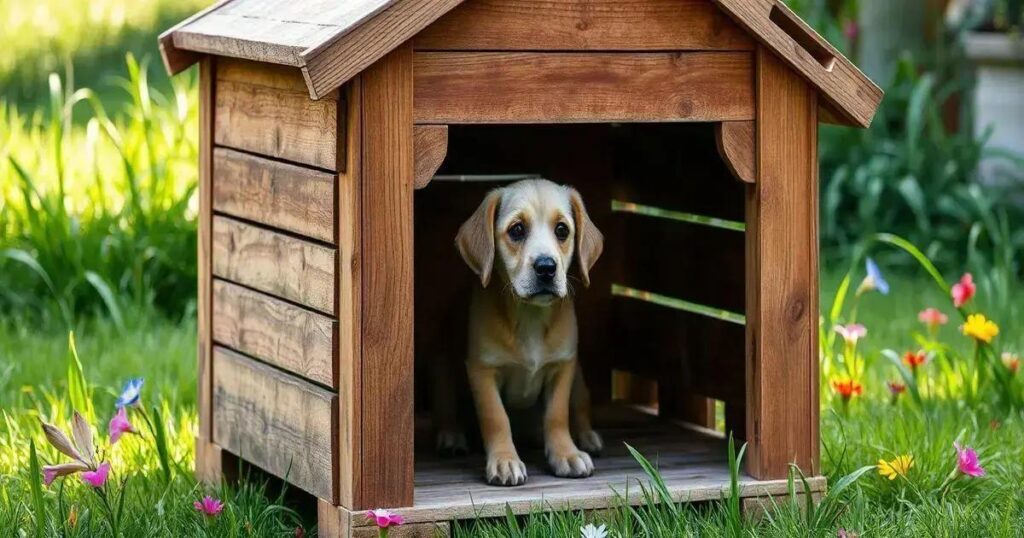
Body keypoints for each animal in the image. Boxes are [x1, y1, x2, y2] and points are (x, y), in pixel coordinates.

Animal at [444, 180, 602, 485]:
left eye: (562, 230)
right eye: (517, 229)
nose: (546, 267)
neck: (530, 316)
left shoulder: (563, 366)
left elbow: (557, 415)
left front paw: (566, 454)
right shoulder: (482, 369)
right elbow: (496, 418)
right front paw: (505, 460)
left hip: (579, 377)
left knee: (580, 404)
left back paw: (586, 437)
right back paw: (451, 436)